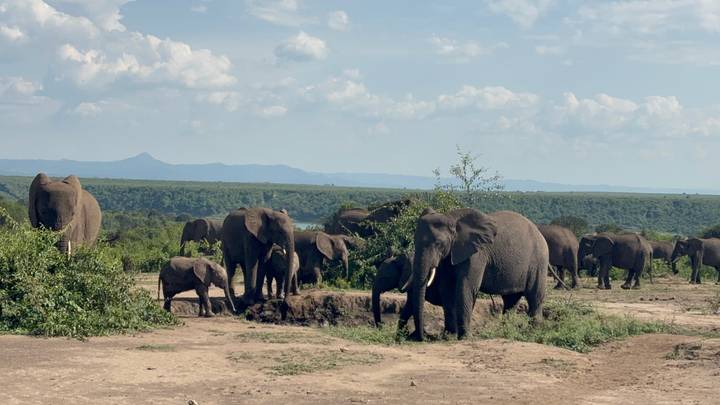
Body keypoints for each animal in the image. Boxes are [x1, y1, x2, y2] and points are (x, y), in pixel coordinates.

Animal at [409, 209, 549, 341]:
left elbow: (466, 287)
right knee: (511, 301)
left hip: (538, 260)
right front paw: (449, 337)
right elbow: (447, 289)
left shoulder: (477, 254)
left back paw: (533, 333)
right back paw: (506, 332)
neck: (451, 218)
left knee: (534, 296)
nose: (422, 337)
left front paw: (464, 338)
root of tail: (539, 232)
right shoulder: (449, 254)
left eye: (438, 243)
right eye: (414, 240)